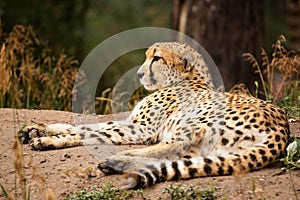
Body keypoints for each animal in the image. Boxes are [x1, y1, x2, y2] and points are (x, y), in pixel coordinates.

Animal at [19, 41, 290, 189]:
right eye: (147, 56)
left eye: (156, 58)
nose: (139, 74)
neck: (187, 79)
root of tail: (282, 126)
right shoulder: (132, 123)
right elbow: (86, 127)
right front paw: (38, 130)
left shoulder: (142, 129)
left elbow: (93, 132)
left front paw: (44, 139)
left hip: (195, 121)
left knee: (168, 148)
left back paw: (116, 160)